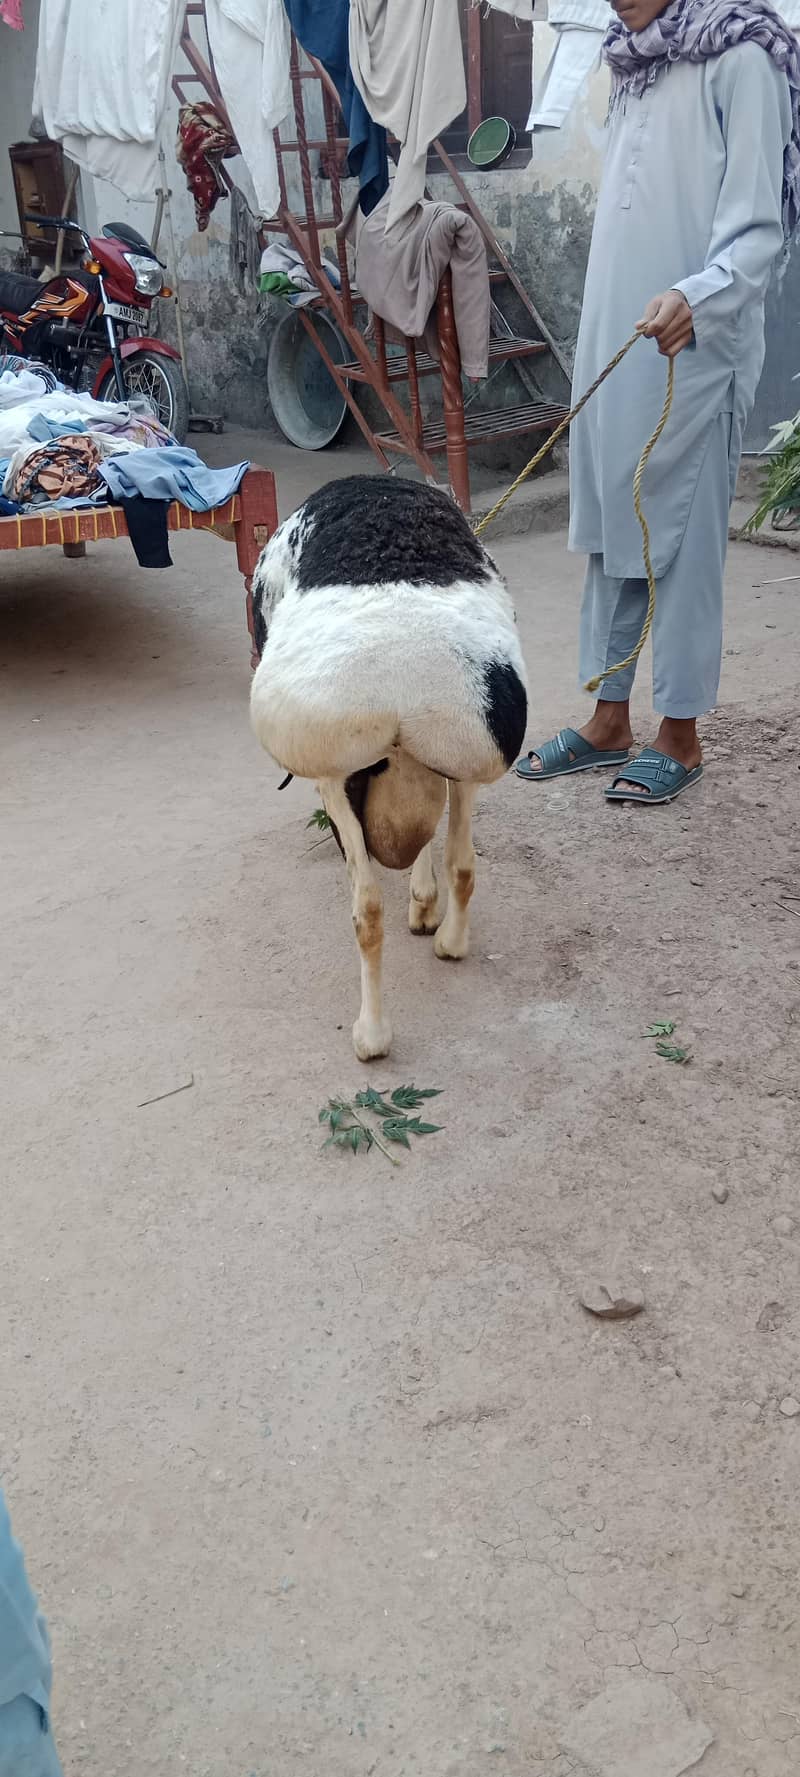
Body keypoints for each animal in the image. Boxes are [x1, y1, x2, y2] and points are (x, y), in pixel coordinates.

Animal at [249, 475, 527, 1060]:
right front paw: (424, 906)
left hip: (333, 775)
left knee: (368, 910)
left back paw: (372, 1035)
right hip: (469, 758)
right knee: (462, 864)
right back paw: (449, 941)